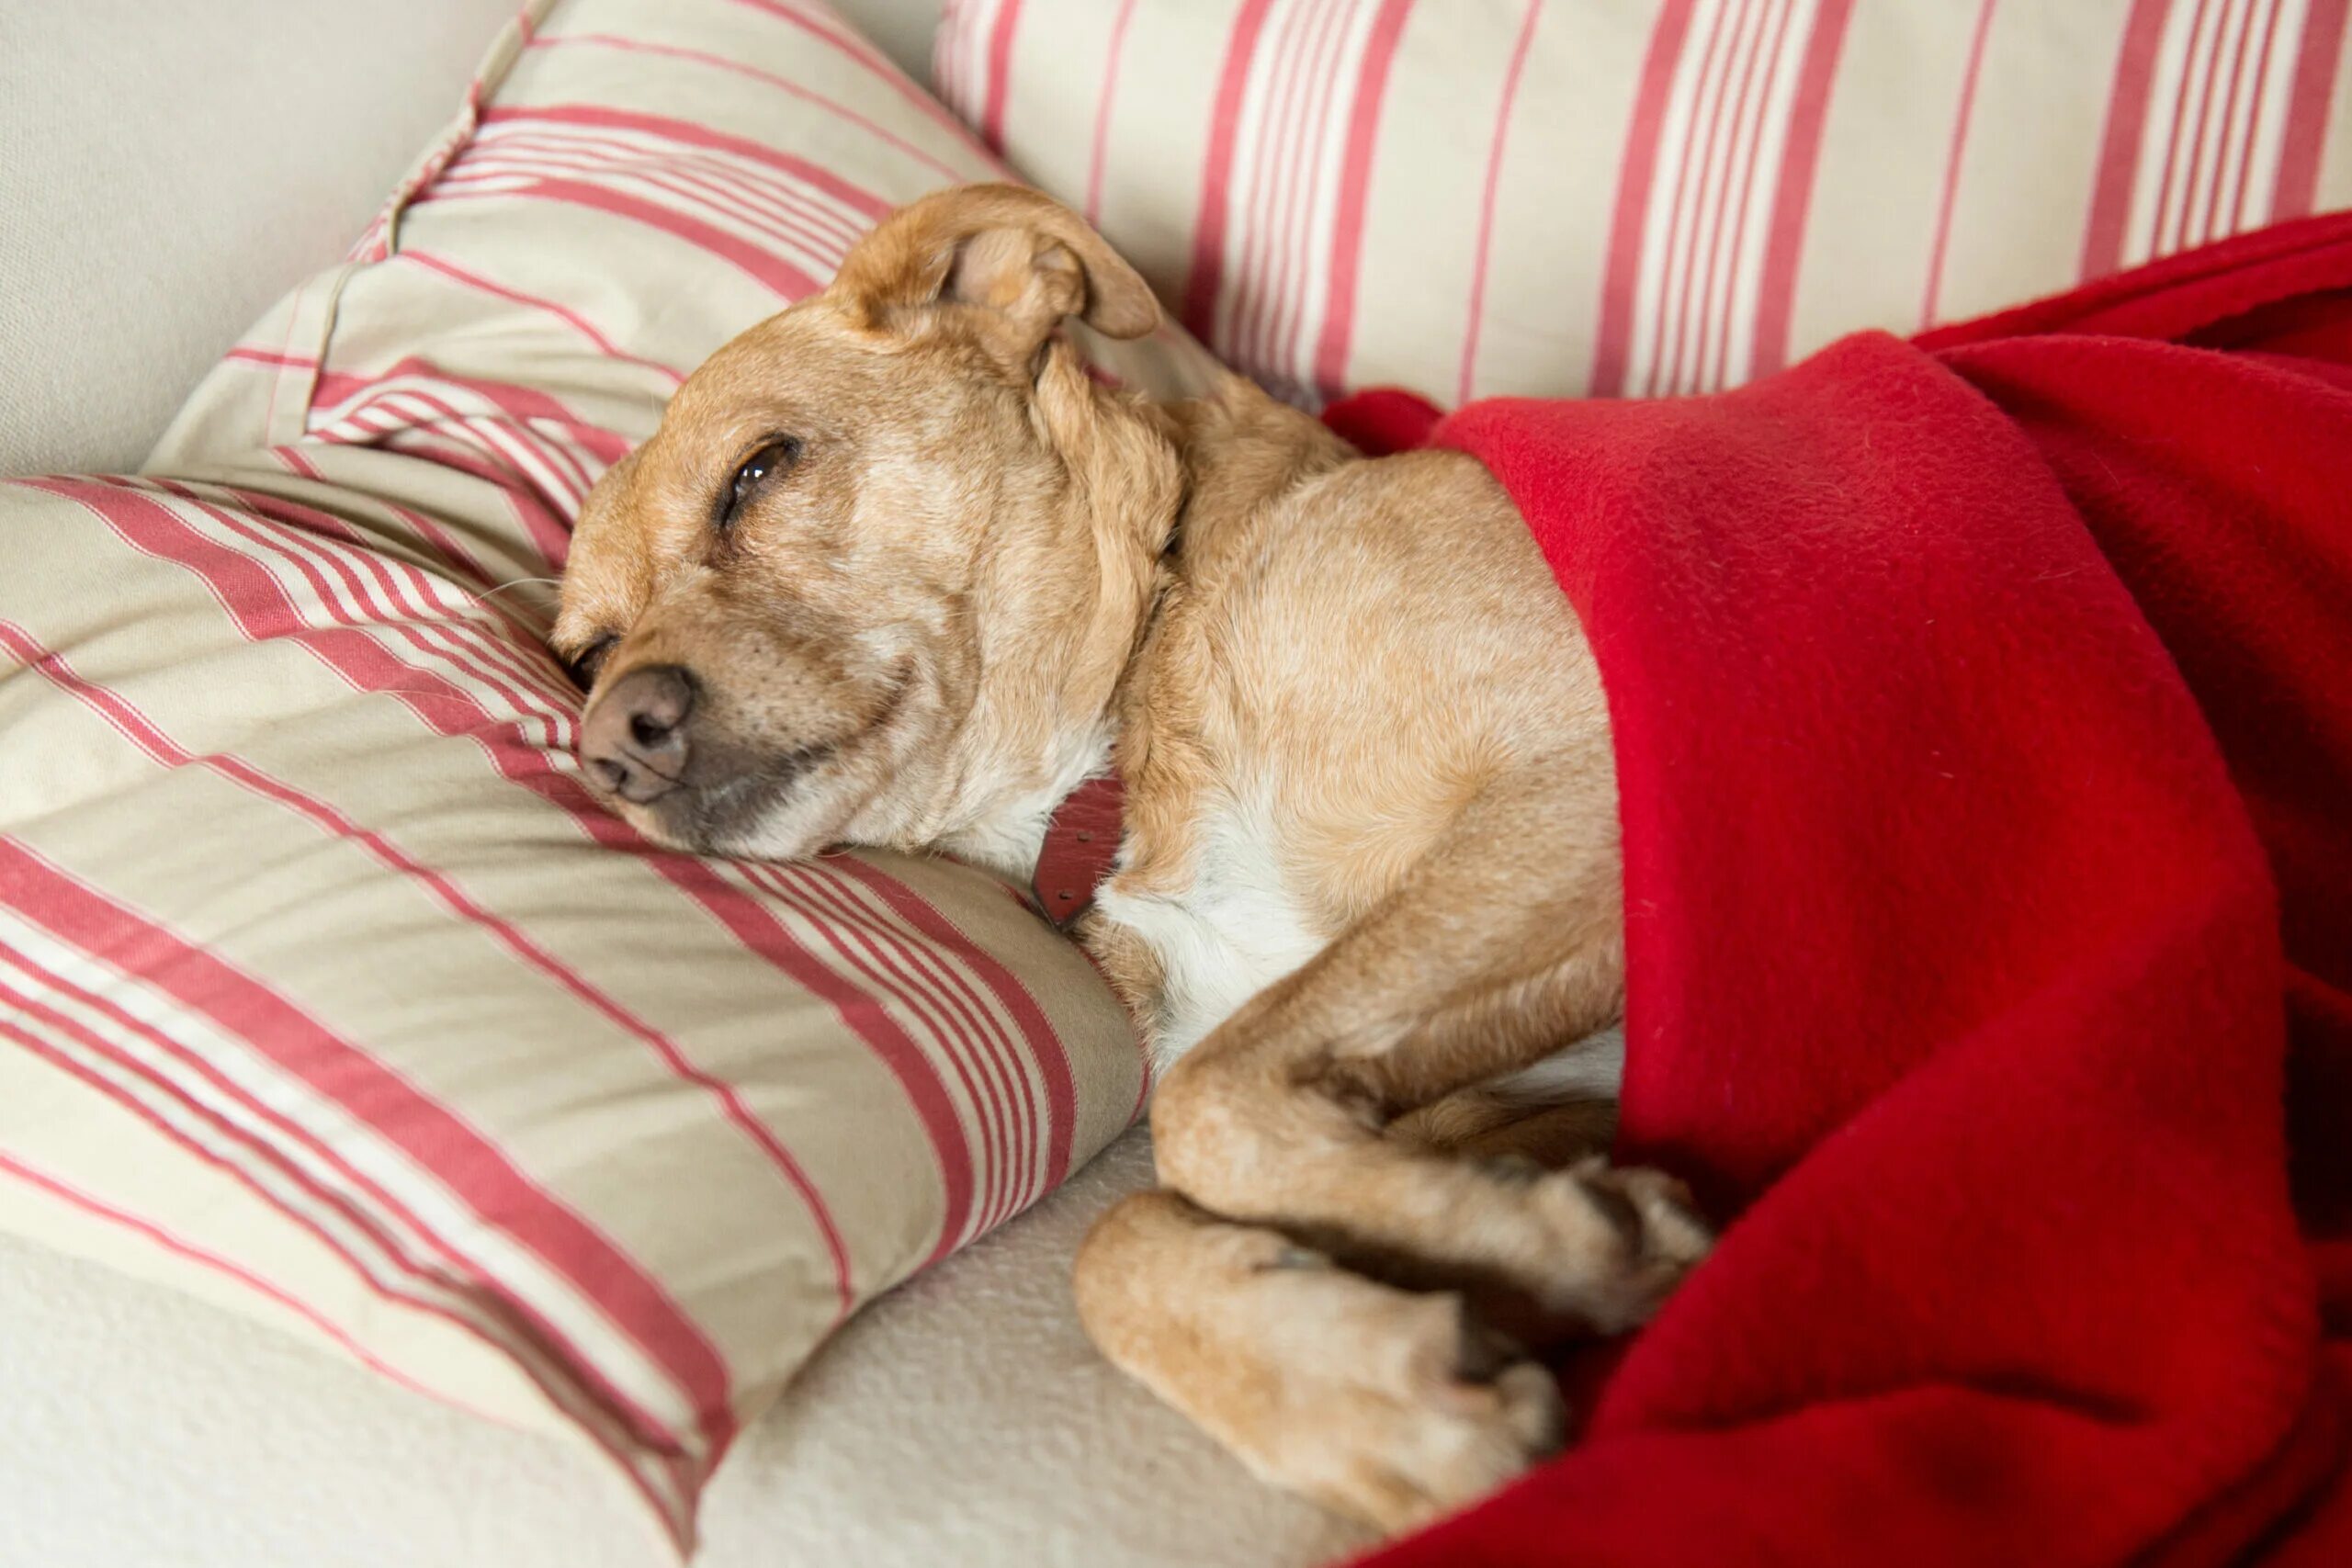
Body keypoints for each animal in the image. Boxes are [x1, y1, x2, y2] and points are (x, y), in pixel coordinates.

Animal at [560, 184, 1721, 1532]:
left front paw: (1562, 1252)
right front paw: (1390, 1395)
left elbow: (1202, 1105)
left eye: (759, 469)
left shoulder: (1592, 777)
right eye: (587, 654)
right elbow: (1122, 1230)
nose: (611, 746)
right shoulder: (1508, 1096)